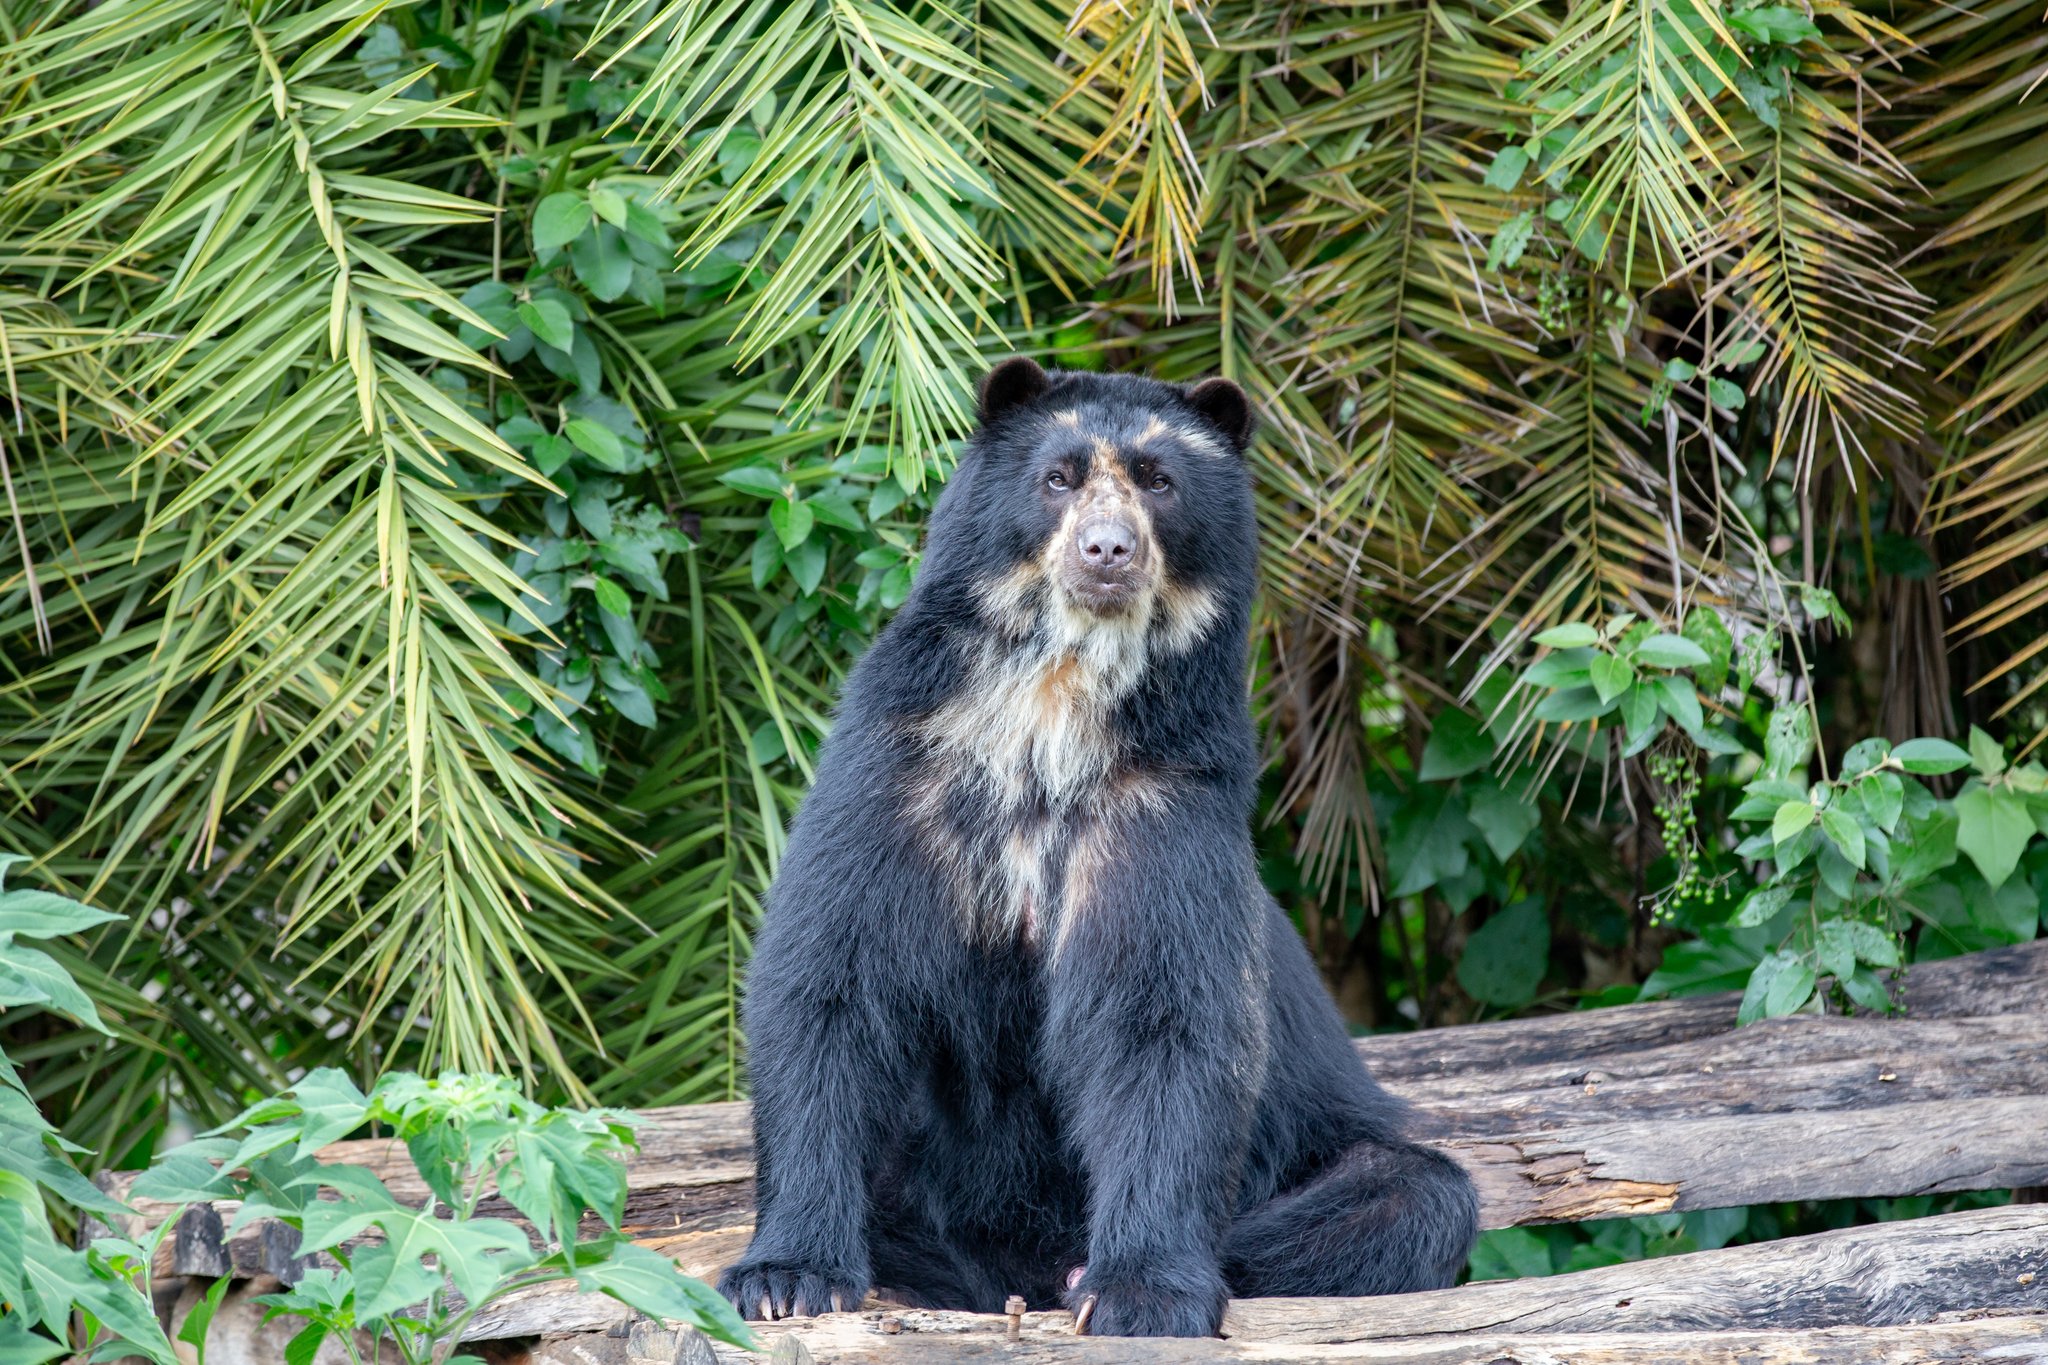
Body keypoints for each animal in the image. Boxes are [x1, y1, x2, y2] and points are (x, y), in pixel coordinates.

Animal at [716, 358, 1479, 1338]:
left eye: (1160, 480)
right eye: (1059, 476)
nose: (1108, 551)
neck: (1056, 701)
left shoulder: (1162, 797)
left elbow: (1165, 1018)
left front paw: (1138, 1292)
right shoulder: (899, 774)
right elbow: (830, 983)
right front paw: (786, 1276)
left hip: (1328, 1132)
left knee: (1413, 1193)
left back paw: (1087, 1267)